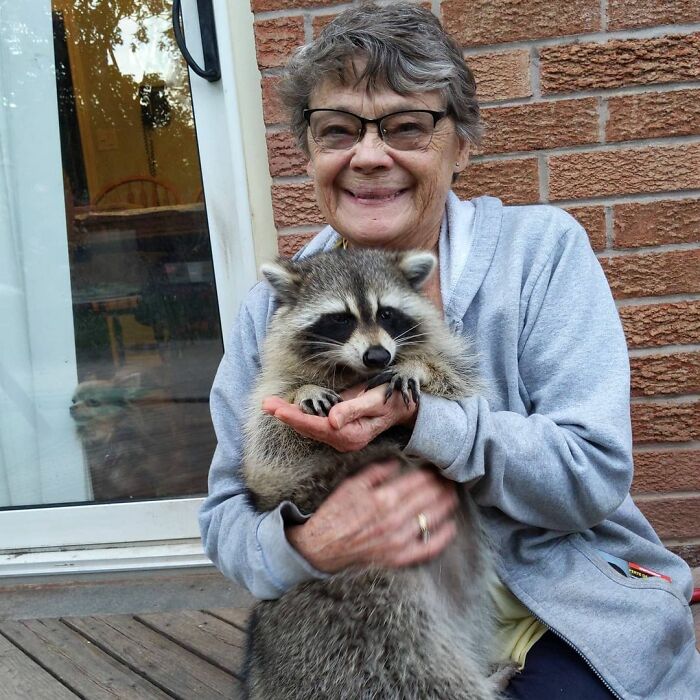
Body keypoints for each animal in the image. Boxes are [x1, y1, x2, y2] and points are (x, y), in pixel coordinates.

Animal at [242, 248, 502, 700]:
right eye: (340, 319)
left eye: (387, 313)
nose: (378, 357)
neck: (355, 373)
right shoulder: (270, 397)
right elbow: (269, 446)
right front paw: (303, 393)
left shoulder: (452, 364)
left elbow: (462, 386)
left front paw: (418, 367)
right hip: (370, 626)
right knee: (417, 670)